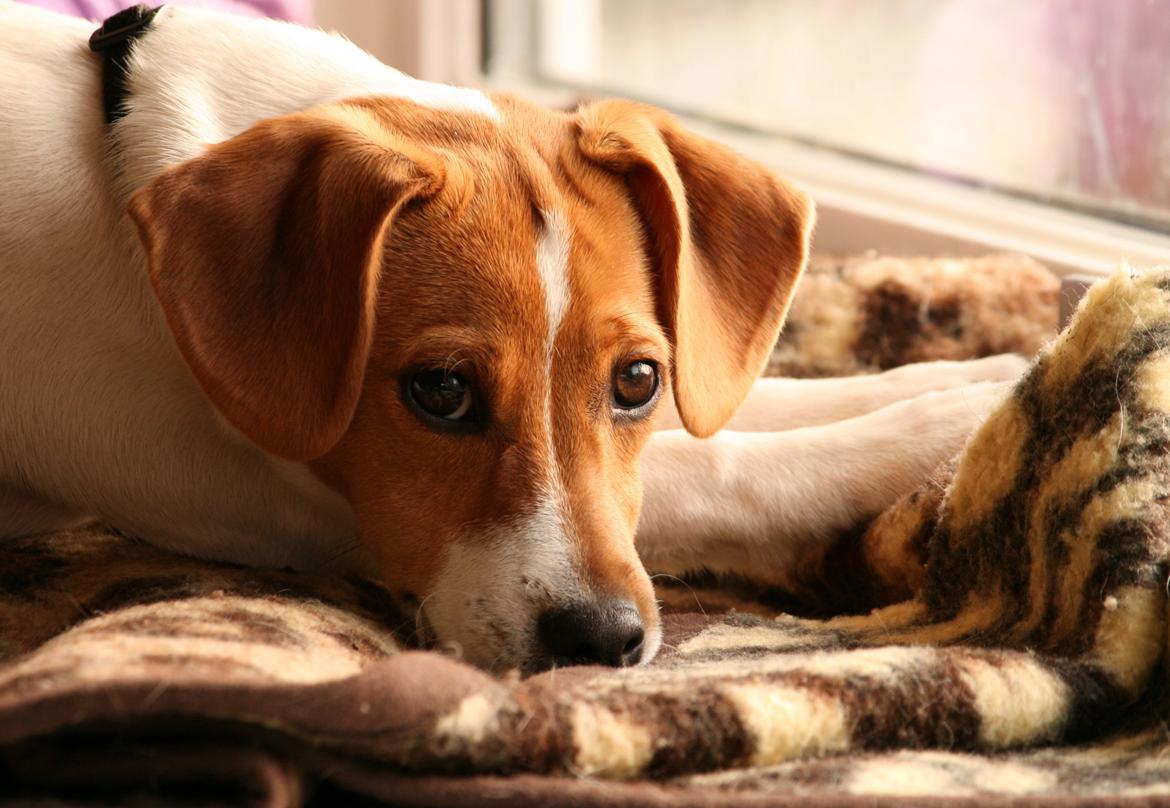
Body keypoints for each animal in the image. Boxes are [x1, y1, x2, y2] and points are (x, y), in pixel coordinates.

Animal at [0, 3, 1024, 678]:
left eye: (639, 380)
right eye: (441, 391)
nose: (601, 642)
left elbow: (755, 401)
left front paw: (978, 373)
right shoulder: (279, 494)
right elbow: (725, 464)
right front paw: (952, 426)